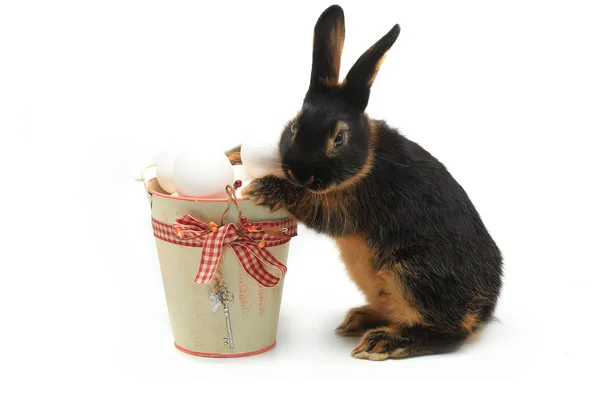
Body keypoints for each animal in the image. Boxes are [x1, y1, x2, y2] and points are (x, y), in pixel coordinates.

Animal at [227, 3, 504, 360]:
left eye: (339, 138)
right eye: (294, 126)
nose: (300, 173)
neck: (366, 159)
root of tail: (484, 309)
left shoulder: (351, 206)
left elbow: (317, 208)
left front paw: (266, 187)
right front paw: (234, 154)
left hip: (412, 273)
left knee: (450, 333)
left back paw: (383, 342)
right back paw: (358, 320)